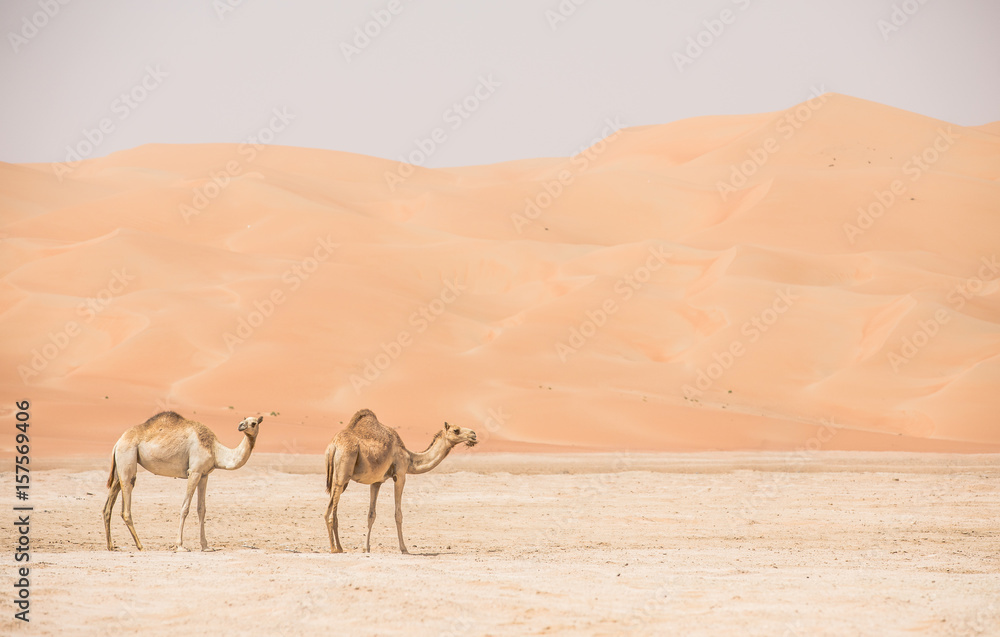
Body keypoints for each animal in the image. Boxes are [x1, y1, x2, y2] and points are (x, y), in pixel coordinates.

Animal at [102, 412, 262, 552]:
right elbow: (185, 508)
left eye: (254, 423)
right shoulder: (194, 471)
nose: (240, 425)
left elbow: (201, 509)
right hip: (127, 457)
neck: (214, 450)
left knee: (108, 506)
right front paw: (180, 546)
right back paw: (141, 546)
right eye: (245, 420)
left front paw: (206, 546)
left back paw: (111, 546)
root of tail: (118, 443)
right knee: (126, 508)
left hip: (119, 468)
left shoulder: (204, 475)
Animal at [322, 408, 474, 552]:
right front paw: (404, 548)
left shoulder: (376, 481)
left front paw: (366, 548)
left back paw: (336, 547)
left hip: (337, 478)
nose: (473, 434)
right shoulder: (400, 474)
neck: (409, 457)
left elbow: (371, 515)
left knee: (328, 511)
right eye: (456, 430)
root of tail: (333, 446)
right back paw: (336, 548)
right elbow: (398, 514)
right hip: (343, 473)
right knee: (331, 513)